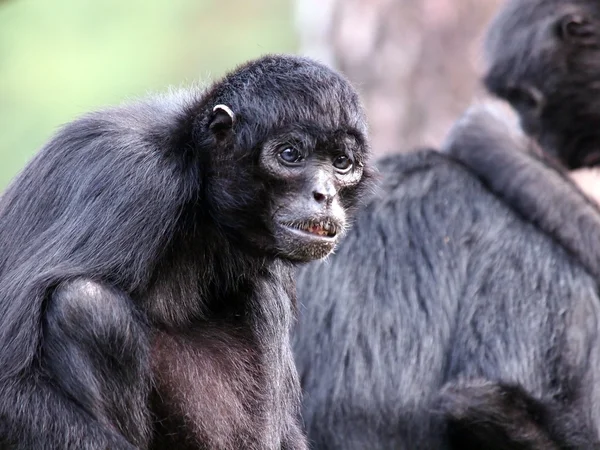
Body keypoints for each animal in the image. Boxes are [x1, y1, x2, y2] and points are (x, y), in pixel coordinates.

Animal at [0, 54, 372, 448]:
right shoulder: (136, 179)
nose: (324, 194)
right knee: (85, 305)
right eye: (291, 154)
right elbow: (9, 386)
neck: (193, 165)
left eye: (341, 162)